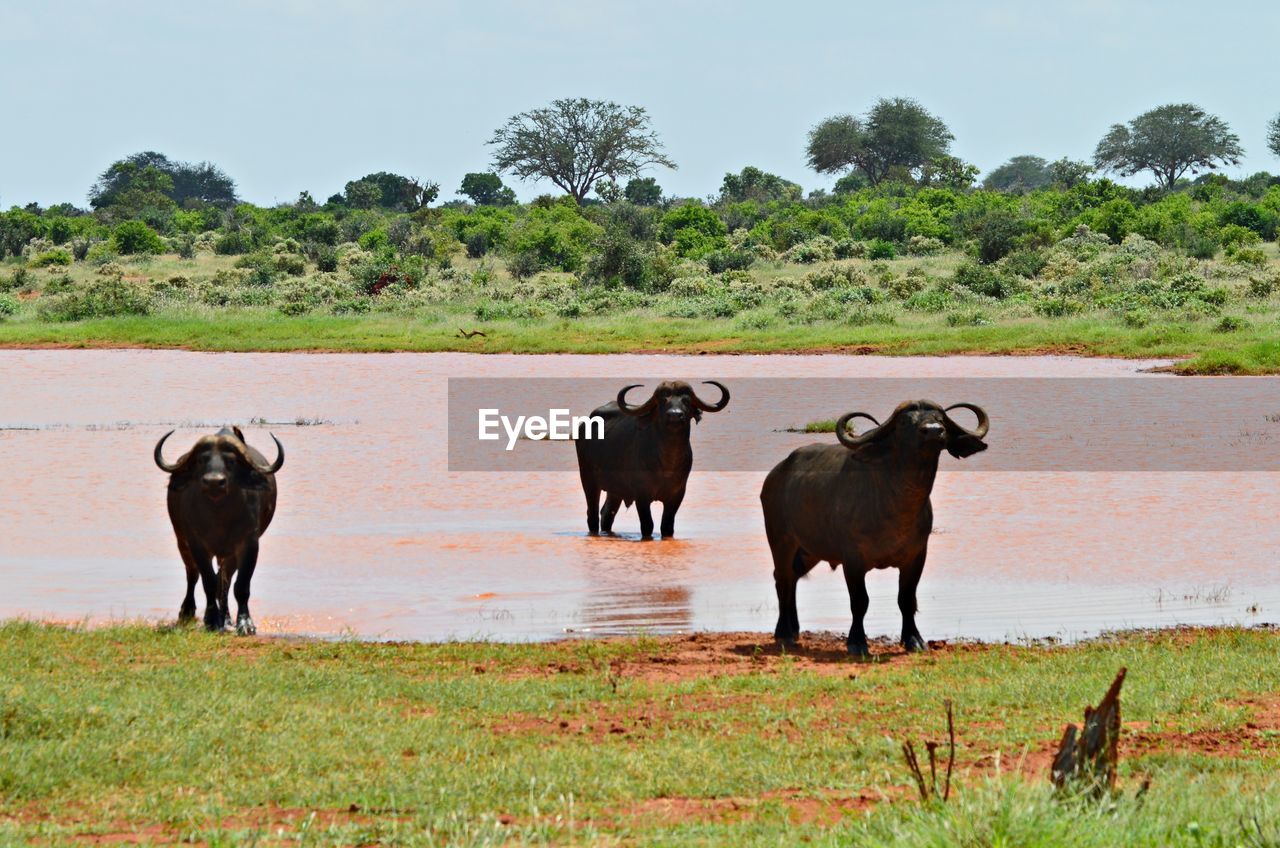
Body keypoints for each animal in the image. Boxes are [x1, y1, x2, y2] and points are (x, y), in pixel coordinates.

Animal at [153, 427, 284, 635]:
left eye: (231, 461)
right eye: (201, 460)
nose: (214, 482)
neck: (219, 516)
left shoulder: (248, 544)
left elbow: (240, 586)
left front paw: (245, 623)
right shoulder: (196, 544)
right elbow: (209, 582)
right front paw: (212, 620)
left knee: (225, 581)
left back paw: (227, 618)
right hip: (181, 542)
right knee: (193, 575)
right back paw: (188, 612)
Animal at [578, 384, 732, 540]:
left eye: (686, 401)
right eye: (663, 400)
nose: (675, 415)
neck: (667, 462)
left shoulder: (677, 494)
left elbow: (667, 526)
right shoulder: (641, 494)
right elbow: (647, 524)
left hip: (615, 490)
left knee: (607, 513)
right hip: (588, 480)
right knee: (592, 513)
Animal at [757, 402, 988, 660]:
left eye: (940, 419)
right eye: (904, 422)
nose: (933, 431)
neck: (896, 505)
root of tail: (775, 475)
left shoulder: (917, 556)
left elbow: (907, 599)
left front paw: (914, 640)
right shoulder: (853, 560)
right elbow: (860, 602)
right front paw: (857, 642)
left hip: (809, 551)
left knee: (793, 578)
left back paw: (795, 629)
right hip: (781, 541)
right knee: (782, 579)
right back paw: (784, 632)